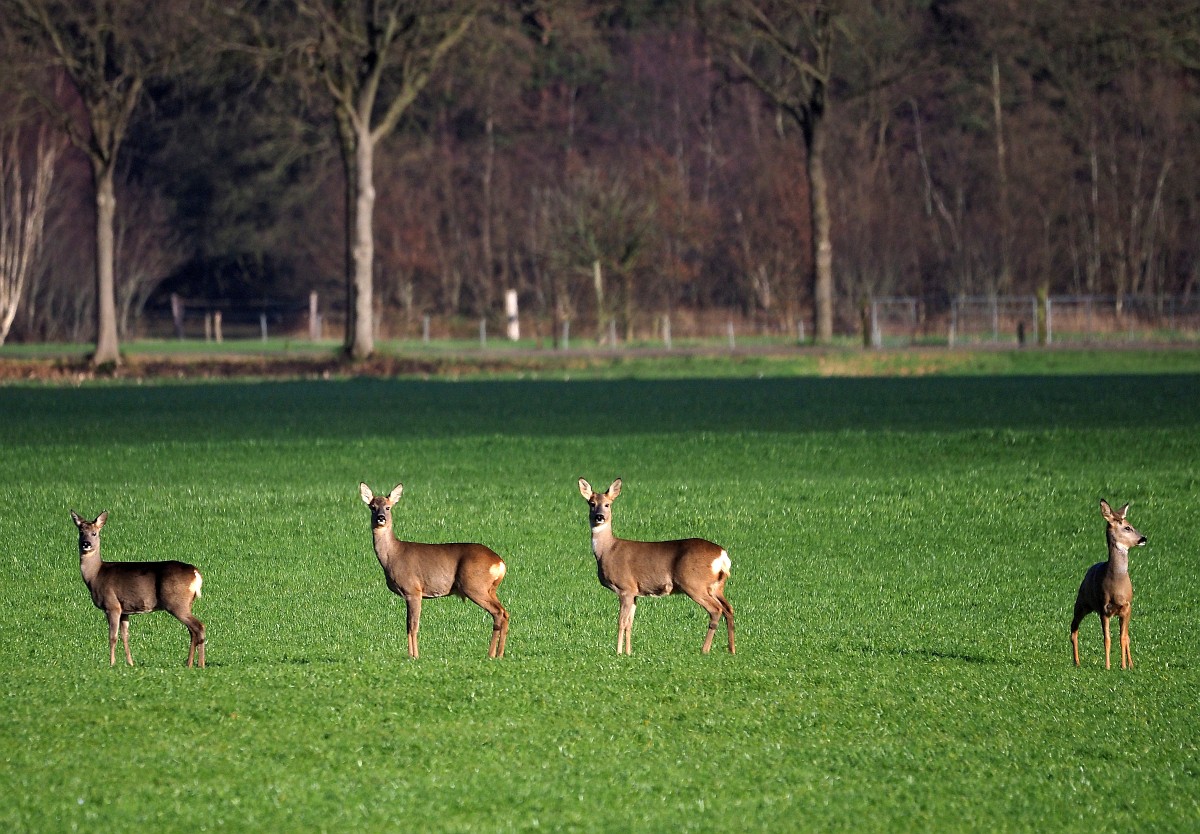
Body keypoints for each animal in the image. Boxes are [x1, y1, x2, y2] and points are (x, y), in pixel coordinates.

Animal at [70, 511, 206, 668]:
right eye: (81, 532)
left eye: (94, 533)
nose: (86, 544)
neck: (95, 575)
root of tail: (195, 572)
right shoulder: (124, 610)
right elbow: (125, 636)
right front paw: (130, 663)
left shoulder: (112, 605)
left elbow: (112, 637)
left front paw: (112, 664)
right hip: (187, 603)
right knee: (192, 631)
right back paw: (189, 664)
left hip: (177, 603)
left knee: (199, 627)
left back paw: (200, 664)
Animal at [359, 483, 509, 659]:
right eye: (372, 507)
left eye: (388, 507)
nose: (381, 517)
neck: (393, 555)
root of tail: (499, 562)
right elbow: (408, 625)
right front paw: (411, 655)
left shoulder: (413, 590)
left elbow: (413, 625)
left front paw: (414, 656)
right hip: (490, 589)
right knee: (505, 613)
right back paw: (499, 654)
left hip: (474, 586)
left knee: (498, 613)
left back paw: (492, 654)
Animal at [578, 478, 734, 656]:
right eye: (591, 503)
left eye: (607, 504)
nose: (599, 517)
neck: (607, 550)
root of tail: (722, 555)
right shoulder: (635, 592)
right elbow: (630, 623)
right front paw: (628, 652)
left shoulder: (625, 588)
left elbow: (621, 622)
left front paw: (618, 653)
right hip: (716, 586)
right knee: (729, 609)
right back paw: (731, 649)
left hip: (694, 583)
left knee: (716, 610)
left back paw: (705, 650)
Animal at [1070, 499, 1147, 670]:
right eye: (1127, 527)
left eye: (1131, 525)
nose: (1143, 538)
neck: (1116, 585)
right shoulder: (1103, 609)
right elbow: (1107, 639)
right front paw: (1107, 667)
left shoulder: (1127, 607)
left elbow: (1123, 638)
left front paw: (1124, 666)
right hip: (1082, 602)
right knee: (1073, 628)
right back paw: (1076, 662)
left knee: (1127, 636)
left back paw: (1131, 664)